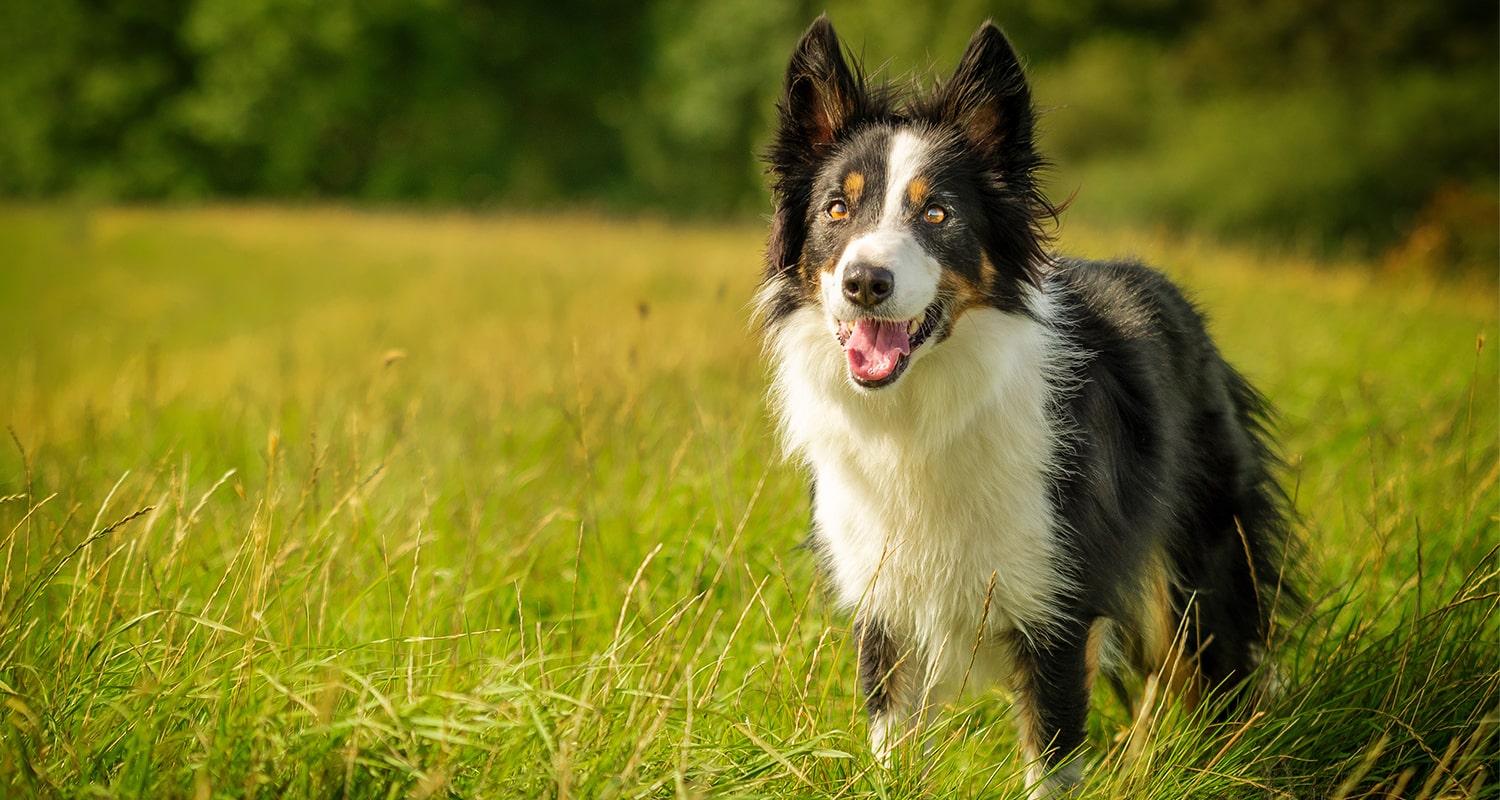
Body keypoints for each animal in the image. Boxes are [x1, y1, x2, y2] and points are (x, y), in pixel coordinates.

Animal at [756, 15, 1296, 792]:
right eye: (836, 208)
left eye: (938, 212)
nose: (864, 283)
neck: (920, 418)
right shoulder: (888, 612)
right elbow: (893, 750)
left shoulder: (1057, 609)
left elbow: (1052, 760)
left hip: (1198, 562)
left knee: (1202, 675)